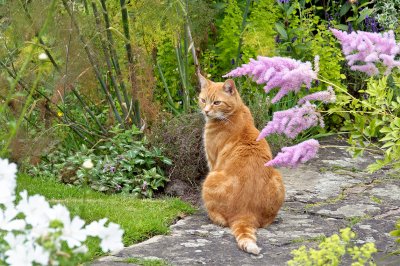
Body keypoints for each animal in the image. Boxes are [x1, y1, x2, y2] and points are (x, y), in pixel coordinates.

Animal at [199, 75, 284, 256]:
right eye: (203, 100)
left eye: (216, 102)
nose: (206, 111)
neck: (234, 113)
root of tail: (245, 213)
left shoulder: (212, 161)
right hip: (278, 179)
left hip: (210, 178)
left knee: (221, 219)